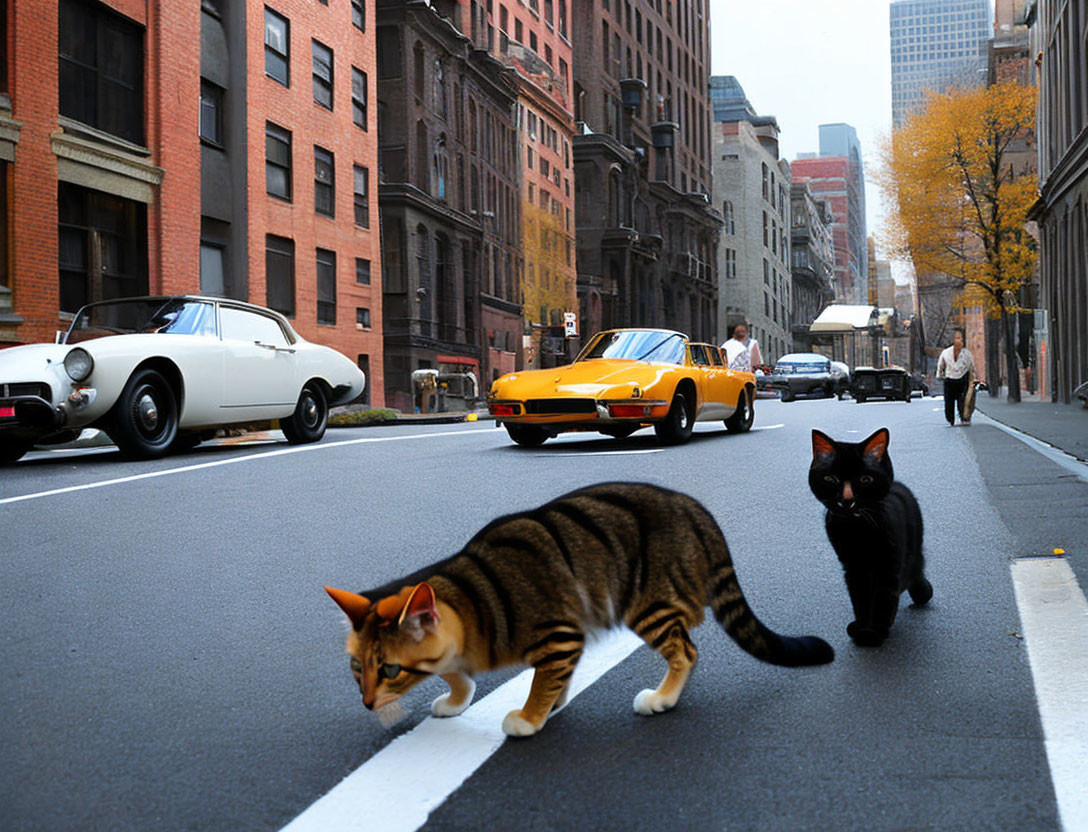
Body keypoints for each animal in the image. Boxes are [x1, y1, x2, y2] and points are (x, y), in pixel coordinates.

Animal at [324, 482, 831, 735]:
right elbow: (463, 673)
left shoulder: (559, 635)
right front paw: (459, 697)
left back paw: (664, 696)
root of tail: (694, 508)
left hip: (648, 603)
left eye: (389, 670)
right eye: (356, 666)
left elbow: (541, 682)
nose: (366, 702)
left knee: (686, 651)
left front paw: (531, 717)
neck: (469, 601)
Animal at [809, 424, 935, 643]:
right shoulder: (852, 565)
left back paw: (921, 591)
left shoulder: (889, 562)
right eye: (830, 479)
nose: (846, 499)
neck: (857, 528)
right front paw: (862, 625)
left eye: (865, 479)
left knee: (916, 566)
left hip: (914, 543)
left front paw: (875, 631)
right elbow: (859, 595)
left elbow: (885, 595)